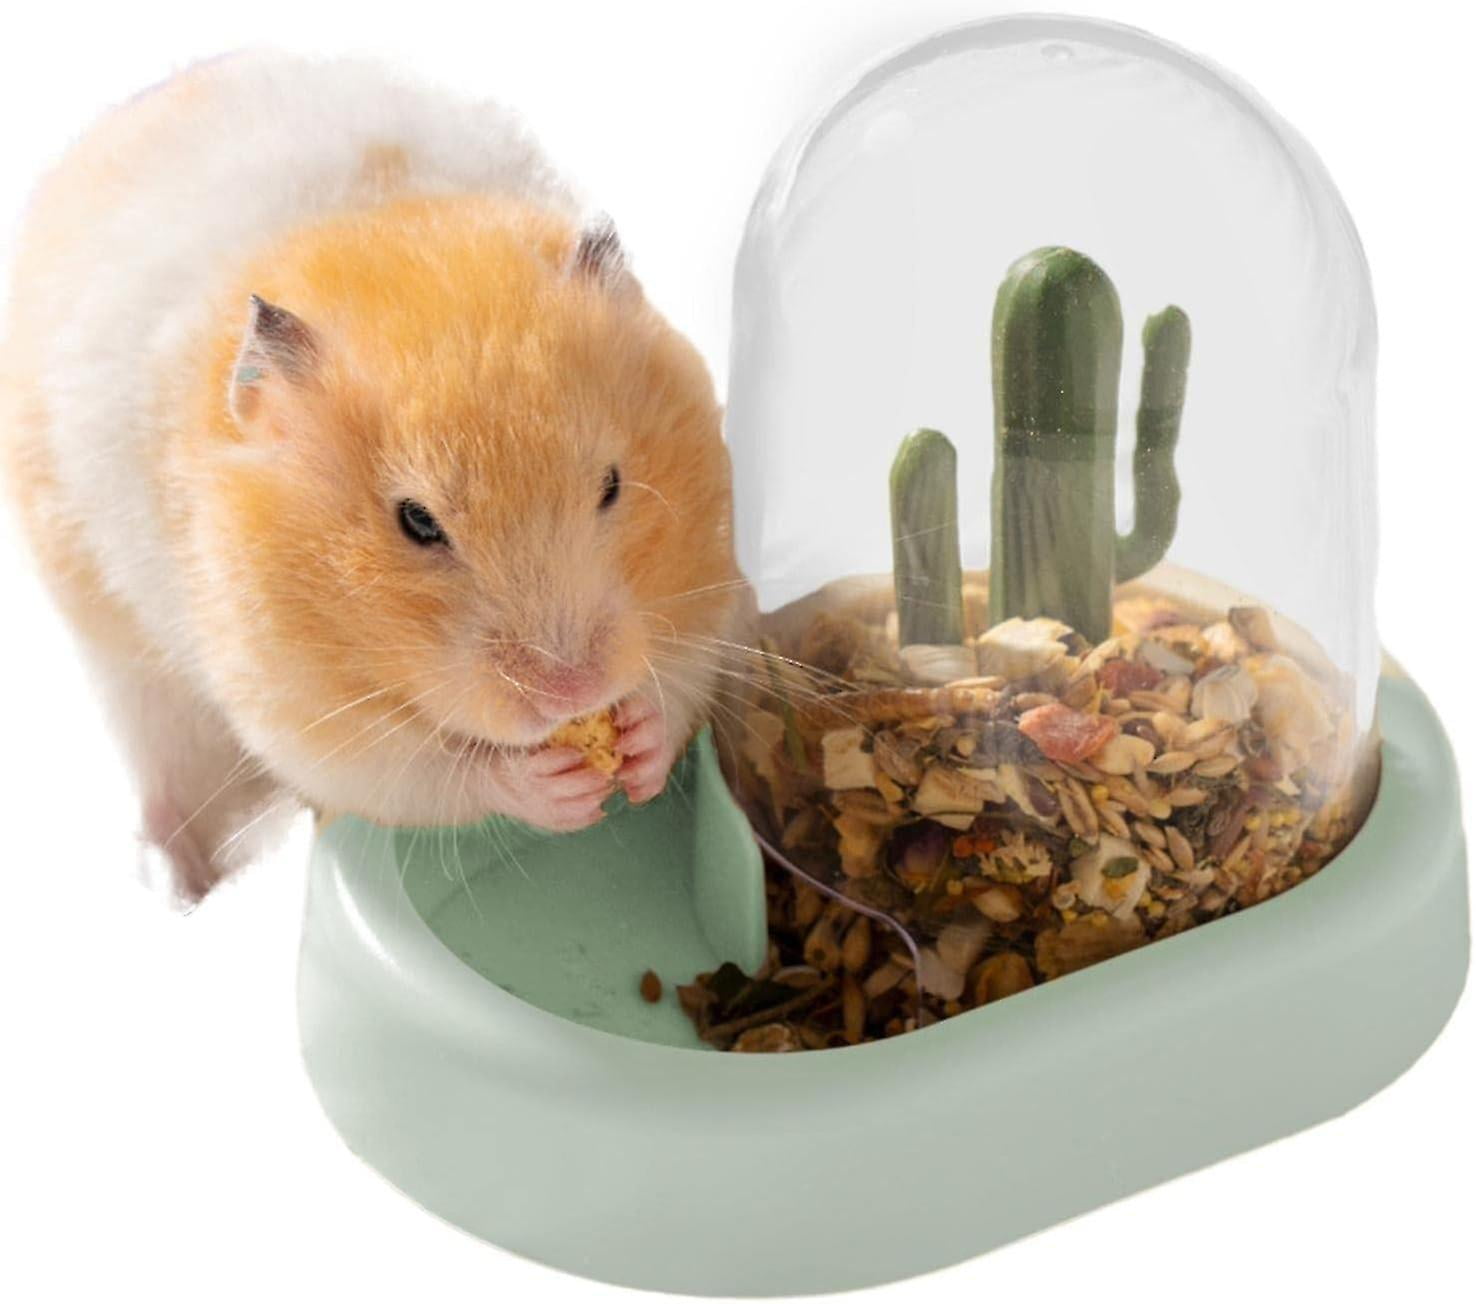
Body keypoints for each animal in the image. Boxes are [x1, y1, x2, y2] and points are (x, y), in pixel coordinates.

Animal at [0, 53, 742, 900]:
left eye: (614, 486)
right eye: (416, 522)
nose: (573, 692)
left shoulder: (709, 592)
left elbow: (678, 679)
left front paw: (640, 743)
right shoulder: (306, 716)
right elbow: (434, 773)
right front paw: (553, 788)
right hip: (126, 673)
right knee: (168, 780)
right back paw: (179, 886)